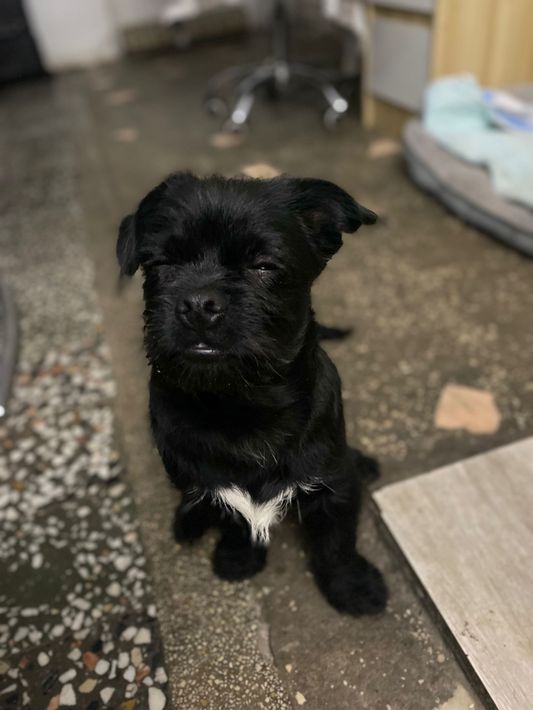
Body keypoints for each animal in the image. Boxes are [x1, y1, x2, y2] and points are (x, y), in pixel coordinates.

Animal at [117, 172, 387, 616]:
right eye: (161, 264)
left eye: (263, 266)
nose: (198, 303)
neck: (242, 405)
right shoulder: (214, 487)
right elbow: (233, 519)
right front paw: (239, 557)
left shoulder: (333, 486)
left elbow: (336, 542)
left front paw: (350, 586)